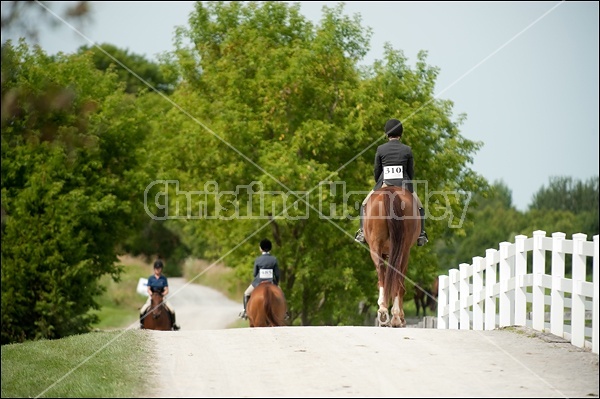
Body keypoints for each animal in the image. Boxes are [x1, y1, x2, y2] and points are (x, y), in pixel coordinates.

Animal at [364, 185, 420, 328]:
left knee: (381, 270)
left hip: (376, 247)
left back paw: (384, 311)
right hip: (403, 250)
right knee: (396, 277)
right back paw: (395, 316)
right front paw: (401, 316)